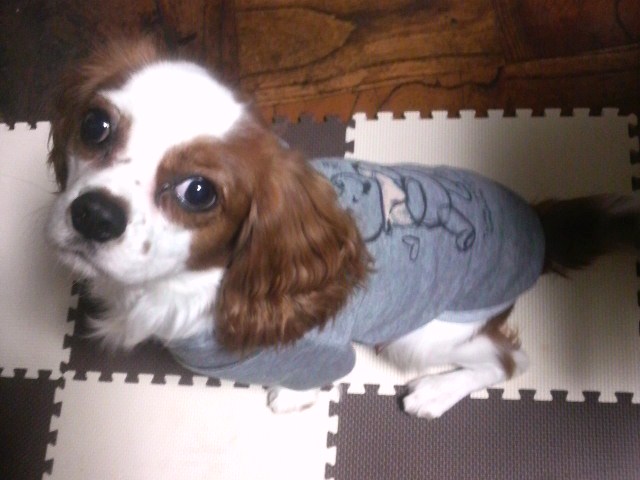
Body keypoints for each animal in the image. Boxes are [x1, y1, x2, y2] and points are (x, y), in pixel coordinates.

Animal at [46, 40, 639, 418]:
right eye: (95, 125)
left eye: (199, 193)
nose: (93, 214)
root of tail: (536, 227)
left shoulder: (321, 353)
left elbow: (315, 378)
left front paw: (293, 397)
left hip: (418, 335)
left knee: (511, 360)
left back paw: (435, 395)